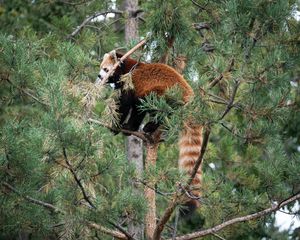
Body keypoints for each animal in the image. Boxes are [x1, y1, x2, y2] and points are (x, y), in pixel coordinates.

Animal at [97, 50, 203, 214]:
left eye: (106, 69)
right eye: (101, 68)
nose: (99, 76)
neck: (127, 66)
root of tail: (189, 95)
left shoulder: (130, 82)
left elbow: (126, 104)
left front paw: (119, 126)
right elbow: (134, 108)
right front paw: (129, 128)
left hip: (163, 93)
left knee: (155, 105)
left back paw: (151, 126)